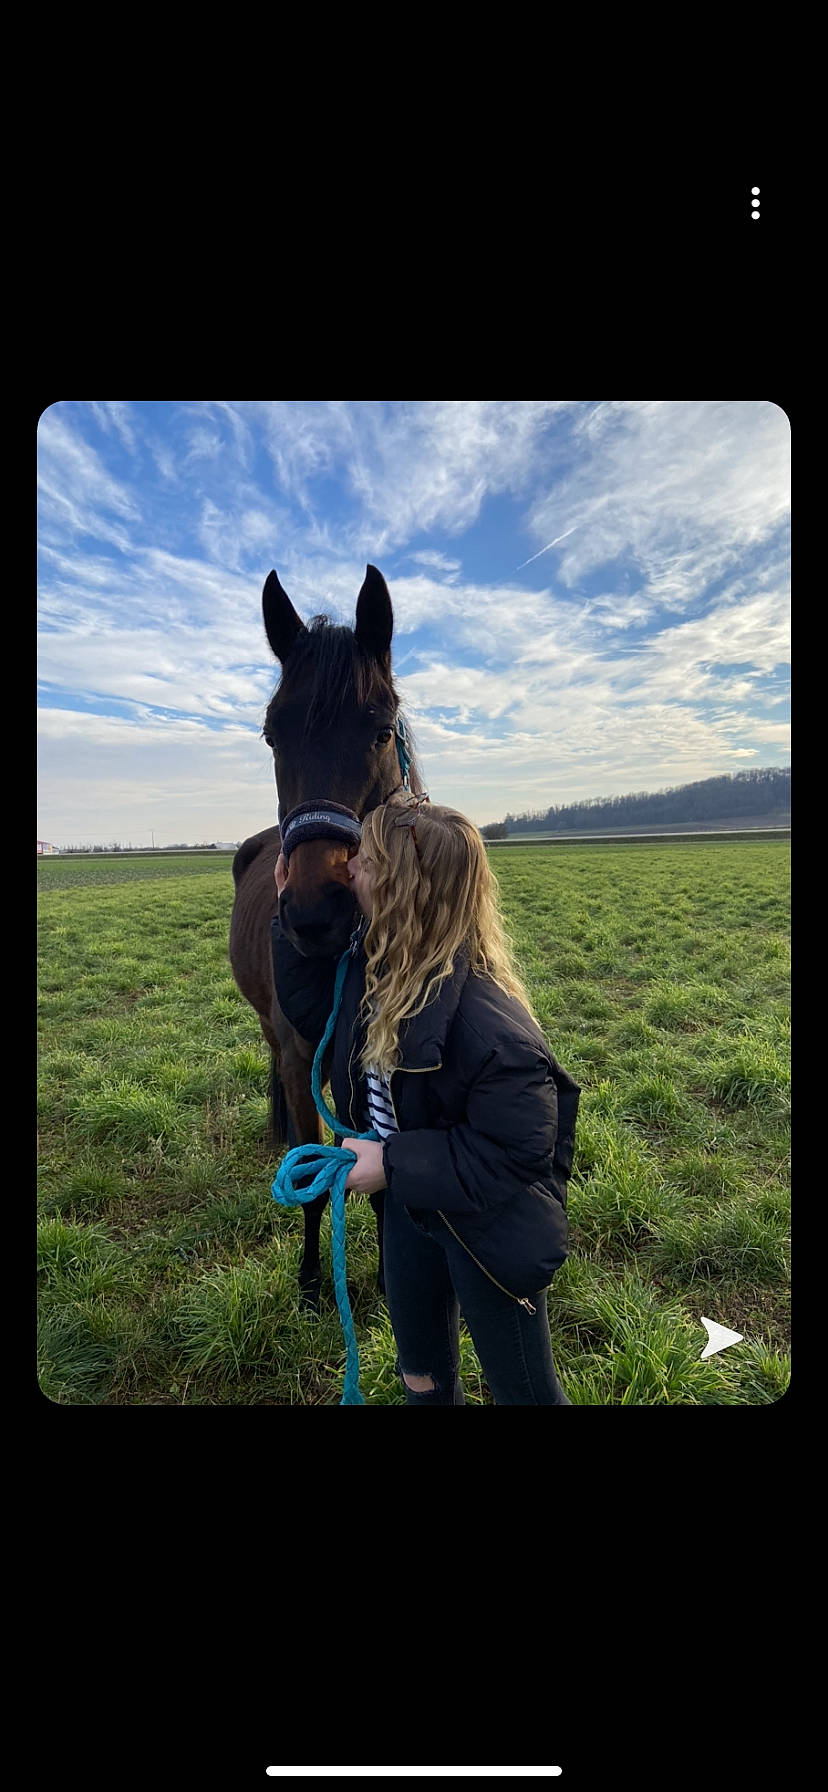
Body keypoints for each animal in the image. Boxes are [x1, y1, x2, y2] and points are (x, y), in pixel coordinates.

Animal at [228, 563, 425, 1307]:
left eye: (380, 729)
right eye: (271, 734)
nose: (317, 912)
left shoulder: (365, 1061)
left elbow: (375, 1170)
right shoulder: (299, 1054)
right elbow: (313, 1179)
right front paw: (314, 1280)